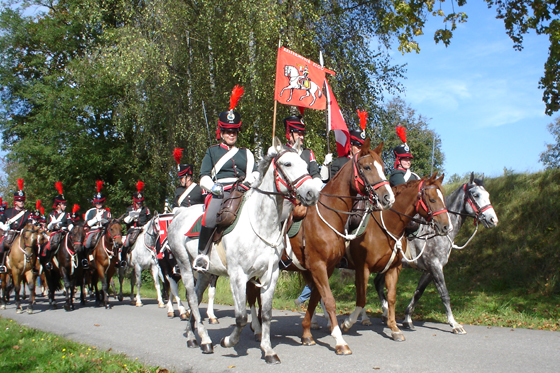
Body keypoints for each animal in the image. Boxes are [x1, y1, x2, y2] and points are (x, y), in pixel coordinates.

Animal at [167, 138, 320, 362]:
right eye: (288, 164)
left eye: (305, 165)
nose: (312, 193)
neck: (260, 222)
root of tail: (178, 214)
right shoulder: (238, 276)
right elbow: (240, 317)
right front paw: (229, 341)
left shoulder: (270, 275)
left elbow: (266, 313)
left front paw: (268, 350)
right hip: (185, 267)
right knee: (193, 300)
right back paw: (204, 340)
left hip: (205, 273)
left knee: (195, 295)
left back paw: (192, 335)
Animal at [284, 138, 394, 354]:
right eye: (367, 167)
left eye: (384, 168)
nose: (388, 198)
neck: (328, 216)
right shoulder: (318, 266)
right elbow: (329, 300)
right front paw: (339, 340)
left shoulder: (325, 267)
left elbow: (316, 298)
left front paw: (307, 333)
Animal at [340, 173, 452, 338]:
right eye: (432, 199)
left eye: (443, 198)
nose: (446, 227)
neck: (387, 228)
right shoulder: (363, 268)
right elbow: (362, 297)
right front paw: (348, 323)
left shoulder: (394, 268)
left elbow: (392, 297)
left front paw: (394, 328)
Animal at [376, 173, 498, 332]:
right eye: (476, 195)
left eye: (487, 194)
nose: (493, 220)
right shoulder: (435, 267)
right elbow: (444, 294)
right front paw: (454, 323)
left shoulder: (429, 271)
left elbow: (418, 293)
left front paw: (408, 319)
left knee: (377, 283)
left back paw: (384, 313)